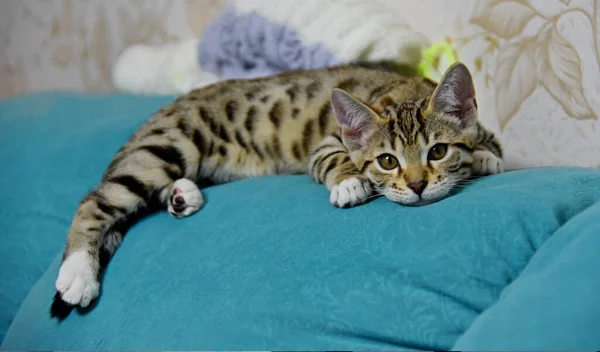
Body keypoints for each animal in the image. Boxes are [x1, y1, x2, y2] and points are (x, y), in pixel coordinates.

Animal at [50, 62, 502, 318]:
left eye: (438, 151)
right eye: (387, 161)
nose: (418, 185)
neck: (403, 90)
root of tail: (158, 113)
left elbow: (488, 143)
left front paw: (485, 157)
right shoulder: (327, 142)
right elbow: (332, 161)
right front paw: (350, 183)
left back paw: (181, 195)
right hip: (170, 145)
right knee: (96, 201)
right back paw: (77, 274)